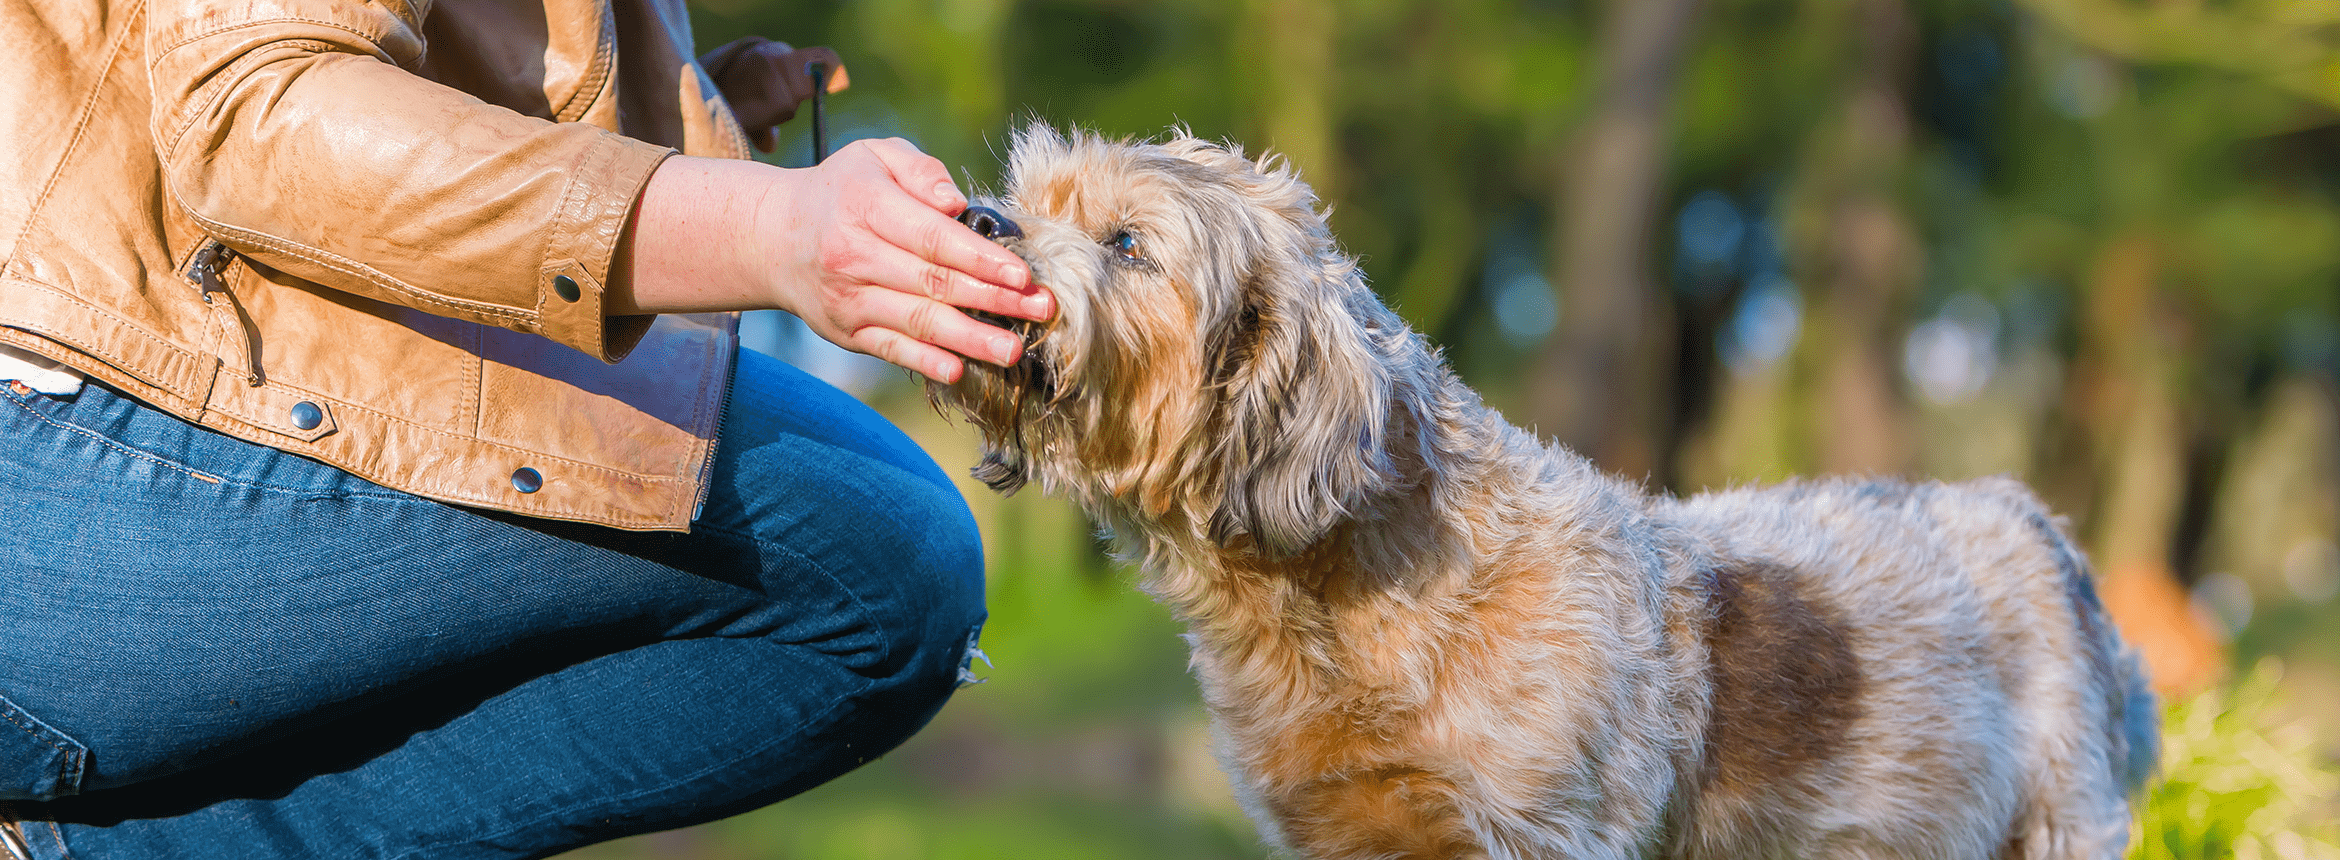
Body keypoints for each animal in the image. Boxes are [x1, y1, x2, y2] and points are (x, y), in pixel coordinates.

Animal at [926, 127, 2152, 860]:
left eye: (1128, 243)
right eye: (1029, 200)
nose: (978, 221)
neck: (1344, 605)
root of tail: (2036, 525)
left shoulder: (1546, 830)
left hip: (2059, 818)